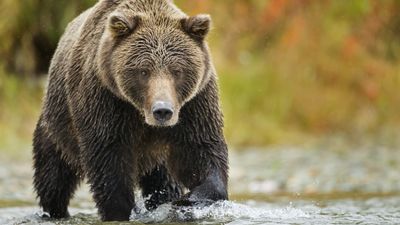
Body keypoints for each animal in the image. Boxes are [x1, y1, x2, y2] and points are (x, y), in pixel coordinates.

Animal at [32, 0, 228, 221]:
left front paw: (188, 199)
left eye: (177, 71)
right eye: (144, 71)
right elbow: (109, 161)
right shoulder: (106, 101)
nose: (162, 110)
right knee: (53, 177)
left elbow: (201, 151)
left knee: (164, 182)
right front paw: (119, 211)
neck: (140, 113)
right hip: (57, 128)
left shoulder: (194, 105)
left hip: (157, 159)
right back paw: (56, 211)